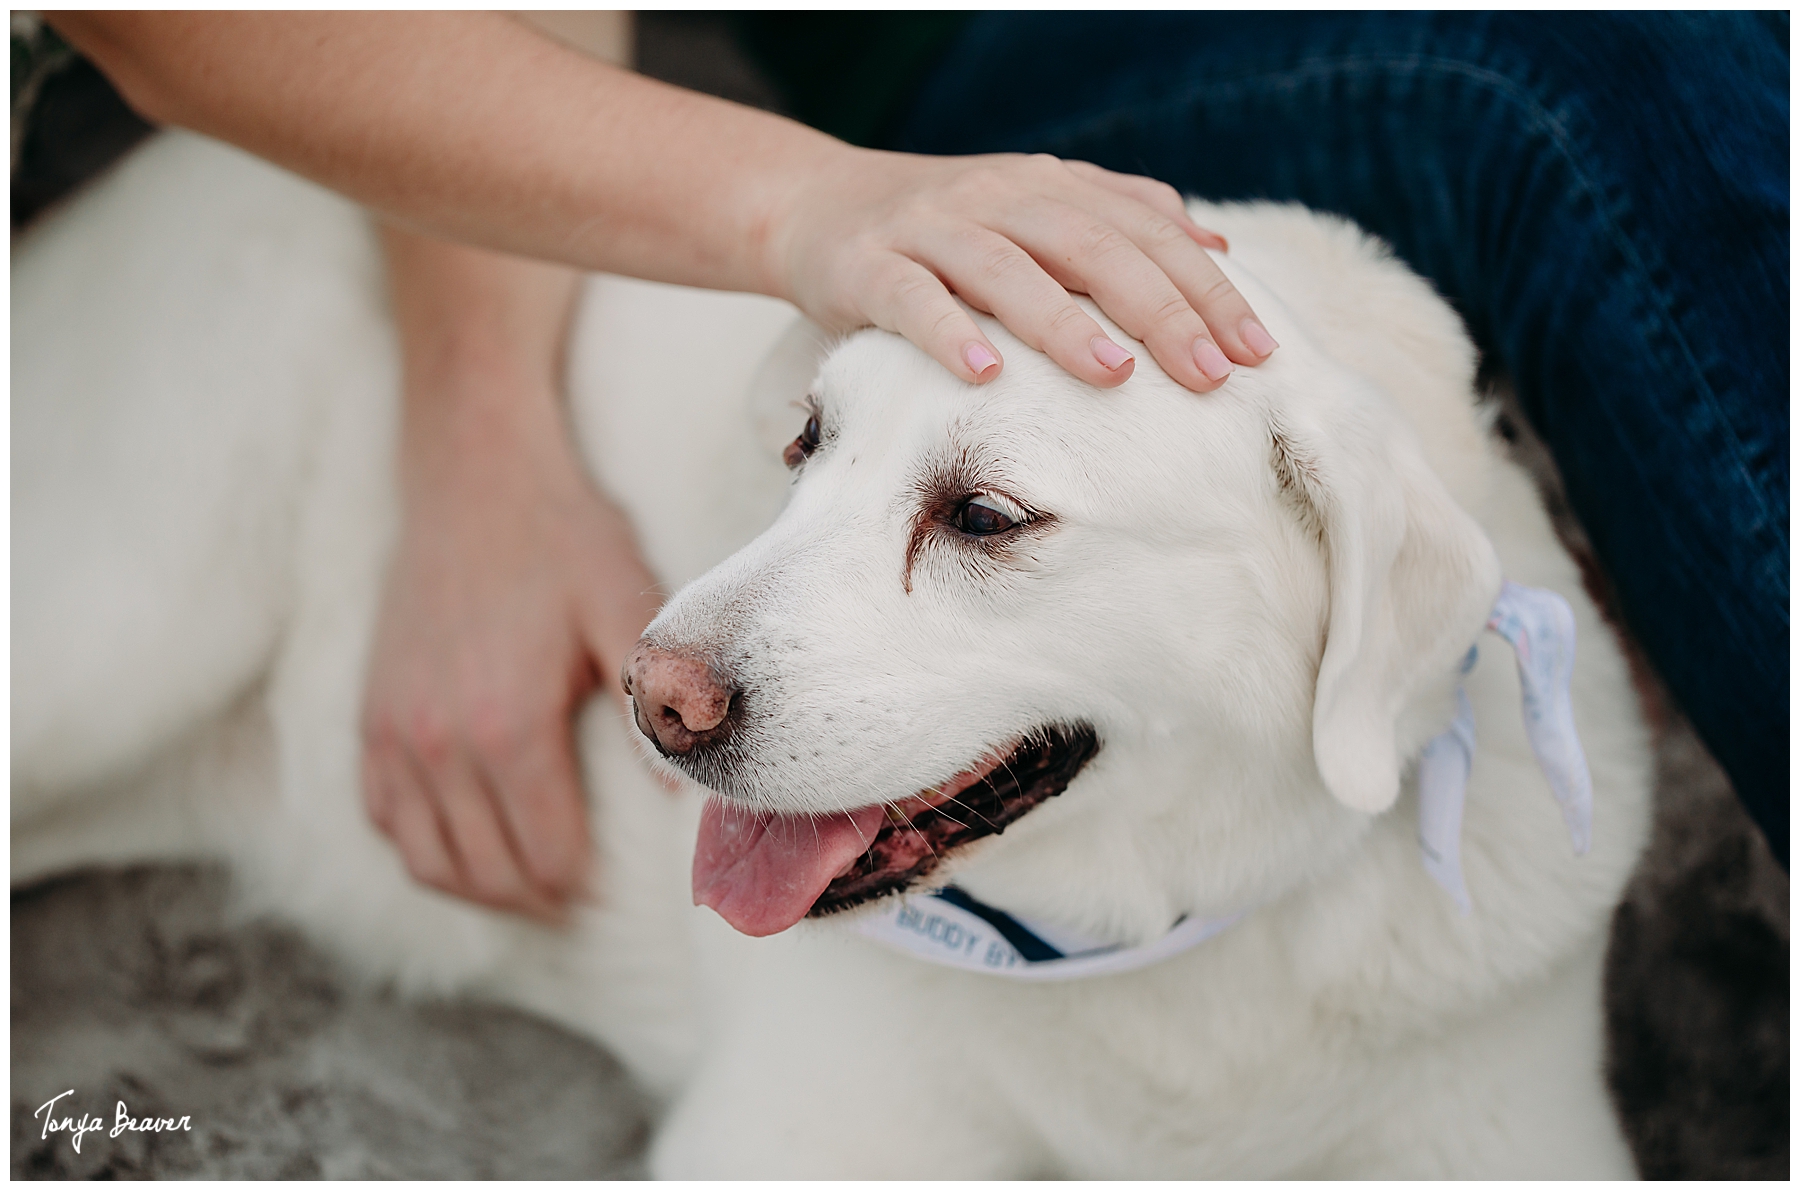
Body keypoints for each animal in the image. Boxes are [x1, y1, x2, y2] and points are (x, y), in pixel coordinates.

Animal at [14, 128, 1648, 1173]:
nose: (649, 700)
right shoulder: (802, 1131)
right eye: (807, 440)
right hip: (125, 631)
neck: (1168, 955)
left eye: (985, 514)